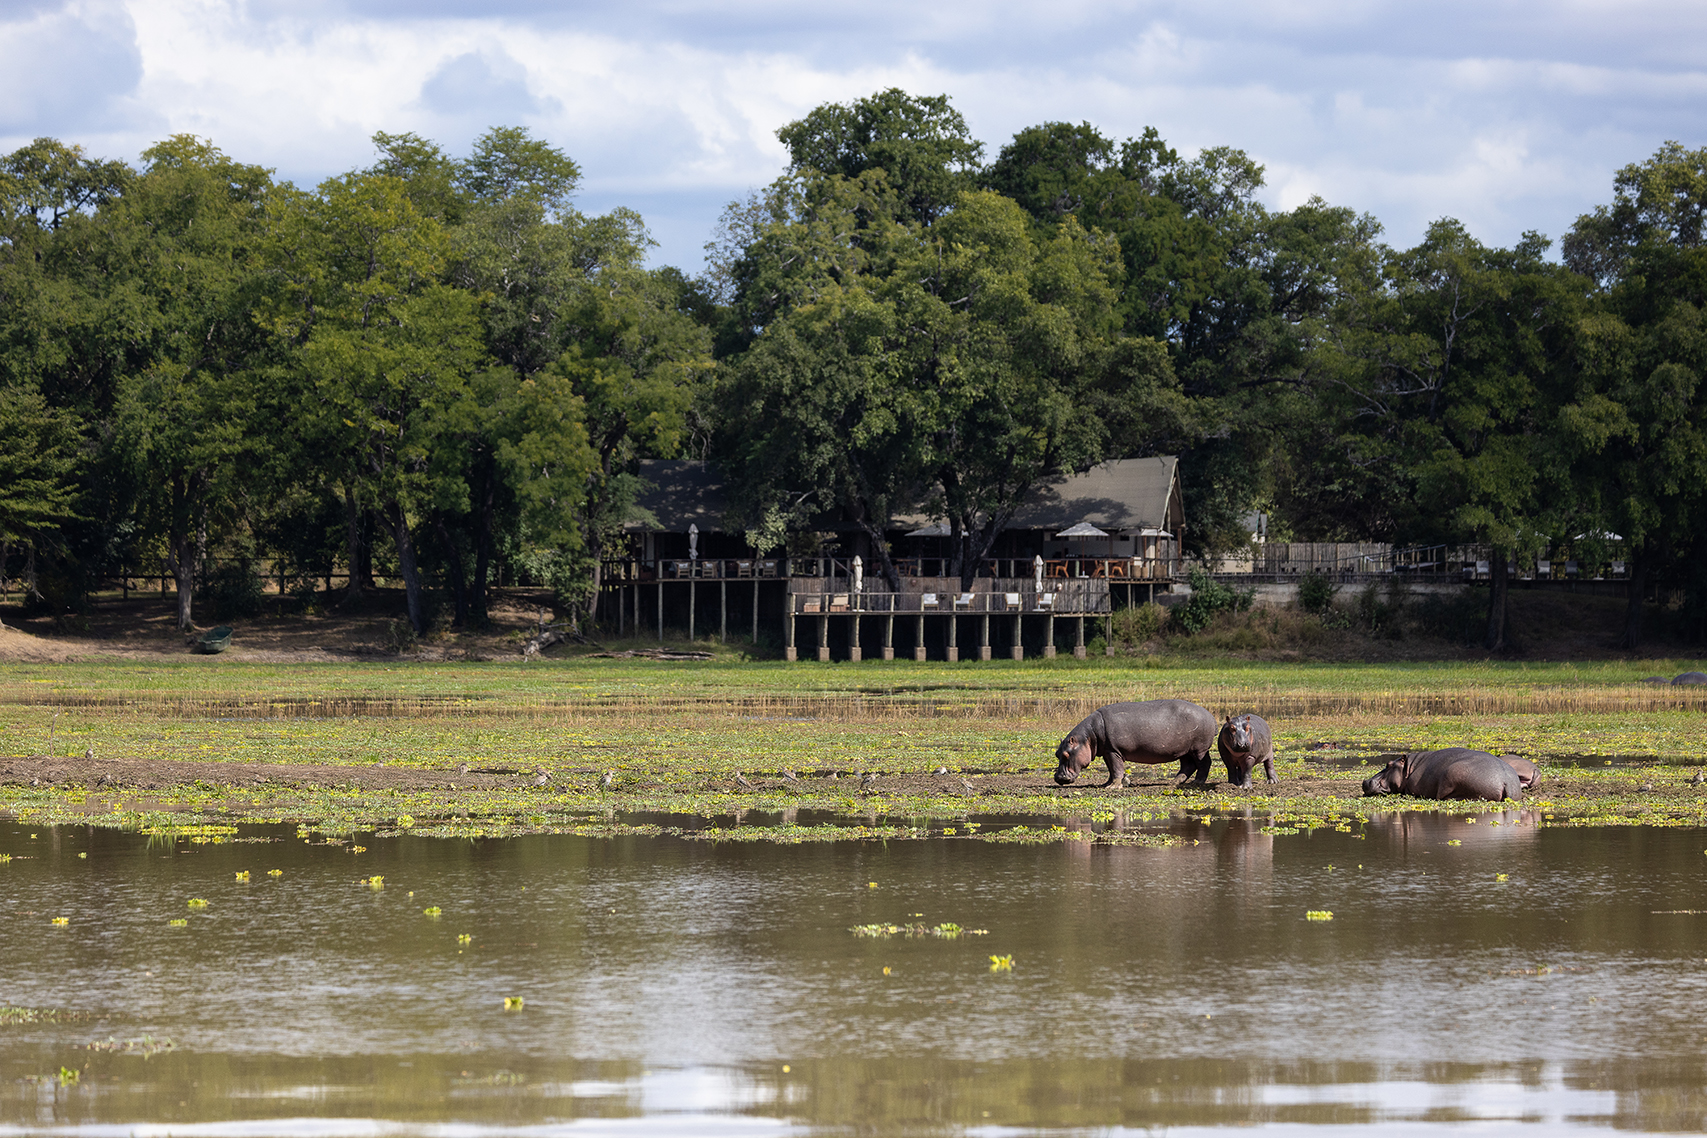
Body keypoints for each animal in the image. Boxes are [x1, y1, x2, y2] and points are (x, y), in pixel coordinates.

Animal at [1054, 699, 1217, 788]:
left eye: (1066, 754)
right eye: (1056, 754)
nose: (1058, 777)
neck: (1089, 736)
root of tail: (1211, 716)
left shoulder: (1113, 750)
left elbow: (1116, 768)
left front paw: (1113, 787)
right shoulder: (1108, 752)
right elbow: (1112, 769)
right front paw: (1106, 784)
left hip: (1199, 749)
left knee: (1204, 763)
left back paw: (1197, 782)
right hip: (1184, 750)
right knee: (1187, 766)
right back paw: (1173, 782)